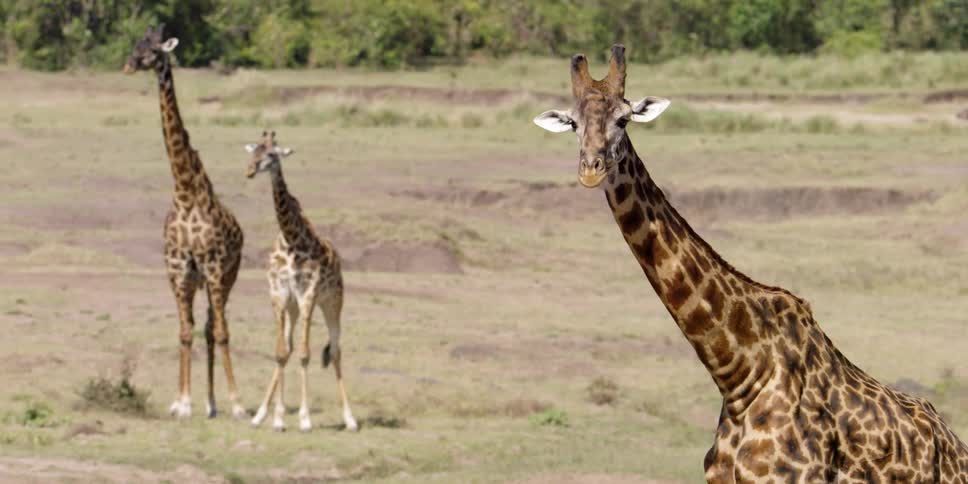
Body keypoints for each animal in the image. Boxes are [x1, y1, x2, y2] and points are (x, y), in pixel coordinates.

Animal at [124, 25, 246, 420]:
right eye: (135, 45)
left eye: (153, 49)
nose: (129, 66)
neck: (185, 190)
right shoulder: (178, 267)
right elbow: (184, 331)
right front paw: (182, 402)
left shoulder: (213, 265)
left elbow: (220, 332)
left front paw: (237, 404)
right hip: (196, 279)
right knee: (200, 327)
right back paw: (206, 402)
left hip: (226, 275)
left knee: (215, 327)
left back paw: (220, 402)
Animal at [244, 131, 358, 433]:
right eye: (253, 151)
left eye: (272, 154)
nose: (250, 170)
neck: (291, 237)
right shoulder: (280, 293)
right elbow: (282, 352)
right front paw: (275, 418)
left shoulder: (309, 292)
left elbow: (305, 354)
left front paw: (304, 419)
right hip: (294, 308)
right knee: (291, 347)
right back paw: (262, 414)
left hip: (332, 302)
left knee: (336, 350)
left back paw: (350, 419)